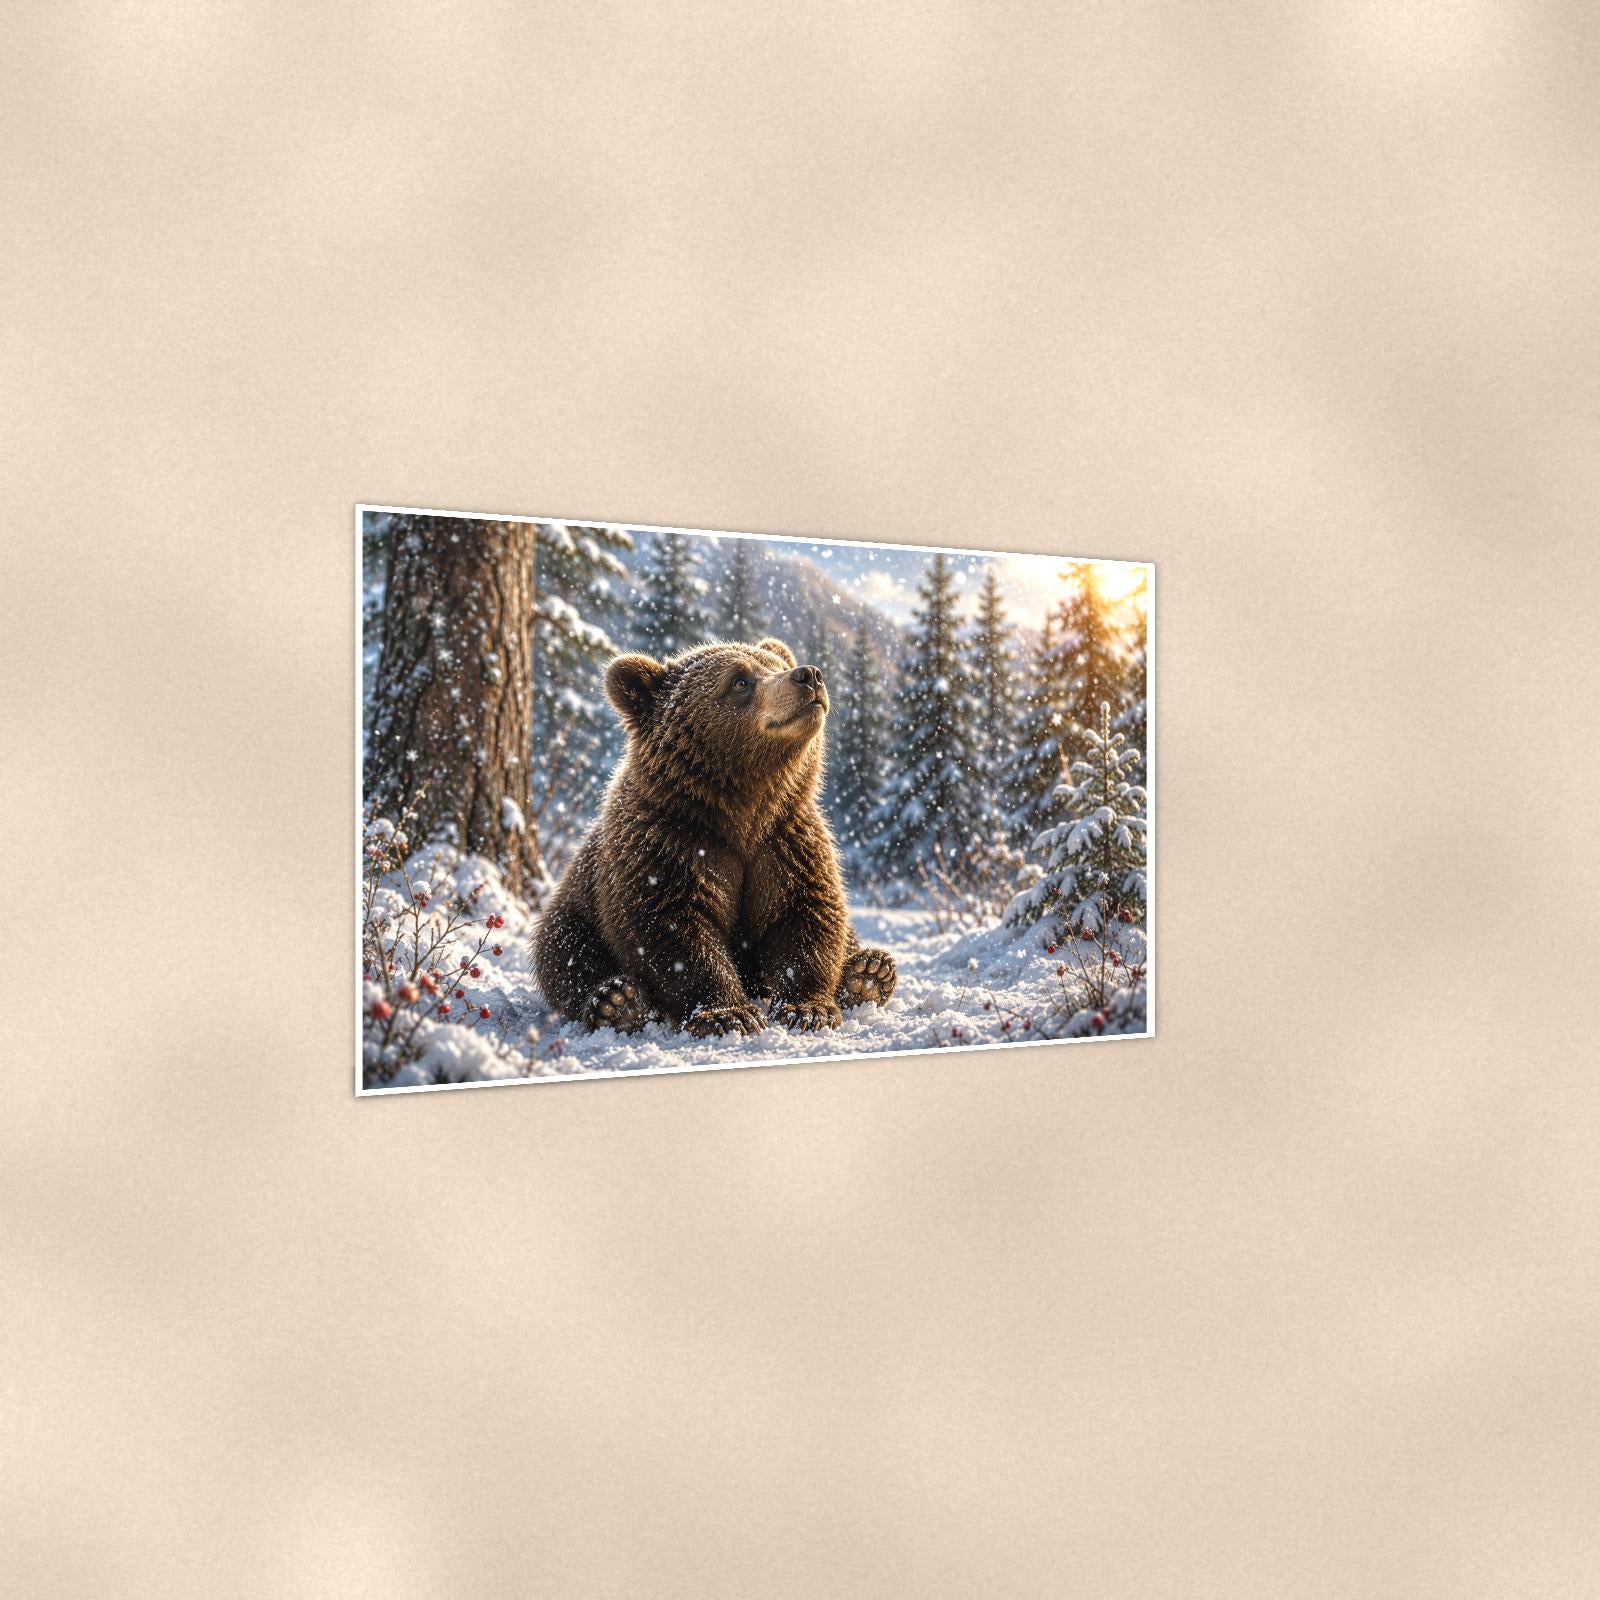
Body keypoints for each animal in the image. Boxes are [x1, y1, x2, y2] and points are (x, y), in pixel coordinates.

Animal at [534, 636, 897, 1037]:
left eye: (777, 664)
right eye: (739, 680)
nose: (809, 675)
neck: (742, 810)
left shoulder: (786, 841)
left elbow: (806, 914)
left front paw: (807, 1008)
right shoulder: (669, 844)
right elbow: (673, 928)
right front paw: (728, 1013)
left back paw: (868, 973)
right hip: (578, 905)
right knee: (566, 949)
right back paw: (618, 1002)